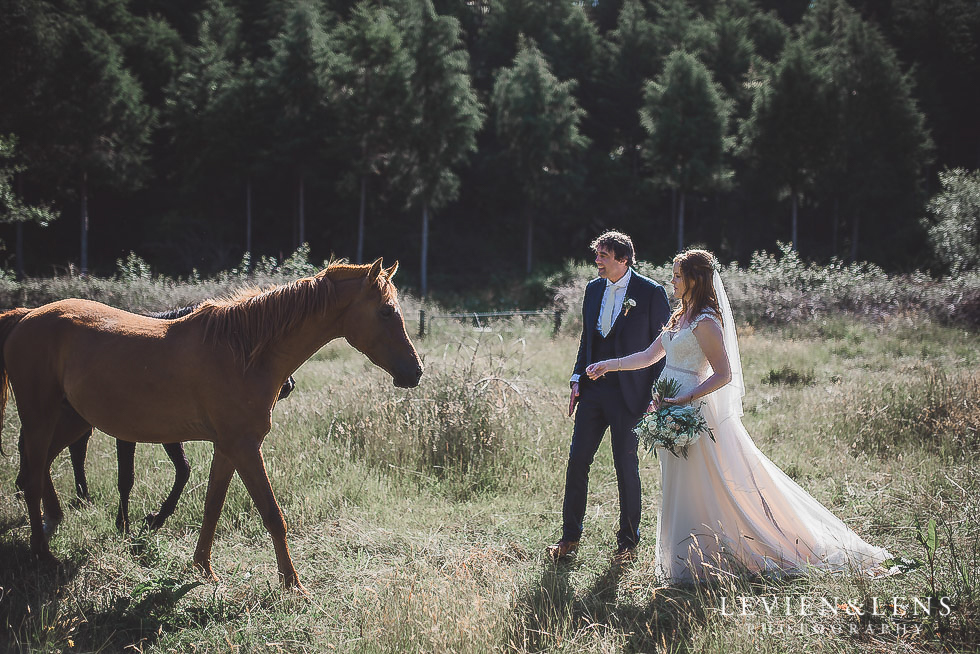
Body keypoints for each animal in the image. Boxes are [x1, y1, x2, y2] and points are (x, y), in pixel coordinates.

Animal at [0, 258, 418, 592]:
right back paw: (43, 553)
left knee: (37, 468)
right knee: (33, 476)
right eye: (386, 311)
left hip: (69, 421)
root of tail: (25, 317)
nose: (415, 372)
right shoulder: (245, 446)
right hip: (42, 417)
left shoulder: (227, 447)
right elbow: (272, 515)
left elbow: (212, 506)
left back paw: (52, 525)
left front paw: (203, 568)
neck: (243, 352)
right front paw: (292, 584)